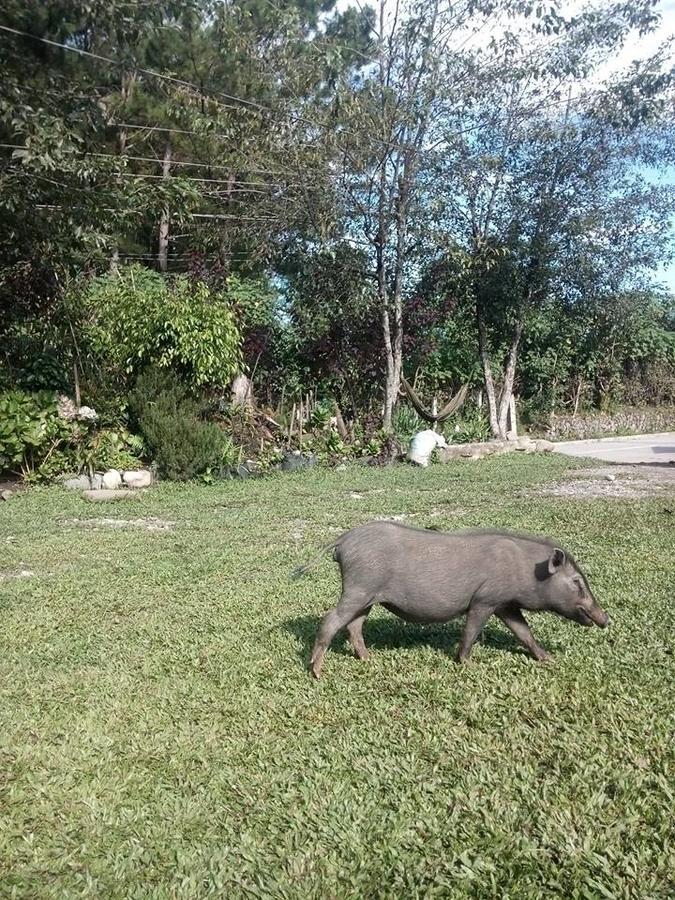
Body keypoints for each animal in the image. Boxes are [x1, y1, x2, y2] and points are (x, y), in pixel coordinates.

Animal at [294, 524, 608, 680]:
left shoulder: (505, 604)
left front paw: (549, 659)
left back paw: (368, 660)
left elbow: (524, 633)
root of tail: (343, 539)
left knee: (354, 626)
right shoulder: (484, 600)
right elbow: (471, 631)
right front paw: (468, 664)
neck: (525, 569)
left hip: (367, 596)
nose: (606, 618)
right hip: (358, 588)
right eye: (577, 582)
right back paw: (317, 673)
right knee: (330, 619)